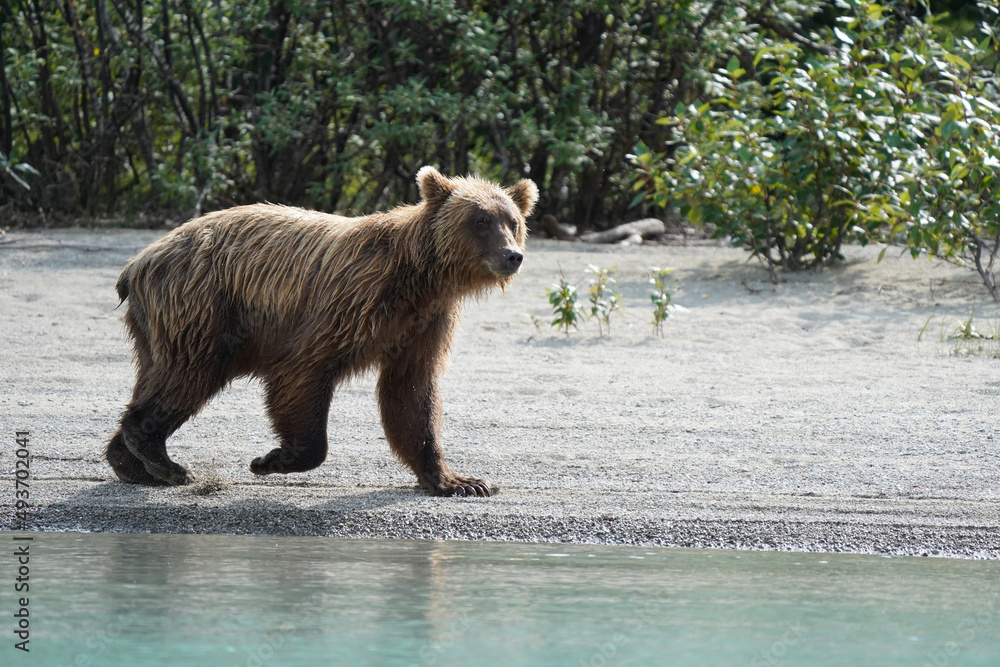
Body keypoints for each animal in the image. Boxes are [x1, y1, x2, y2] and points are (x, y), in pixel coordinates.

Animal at [105, 166, 538, 497]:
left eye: (513, 221)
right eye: (480, 220)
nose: (512, 256)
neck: (422, 279)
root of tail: (138, 261)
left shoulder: (424, 323)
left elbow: (412, 393)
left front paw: (459, 481)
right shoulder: (354, 300)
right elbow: (304, 368)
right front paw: (272, 459)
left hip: (164, 320)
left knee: (162, 374)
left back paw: (133, 463)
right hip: (202, 303)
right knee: (188, 373)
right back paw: (163, 460)